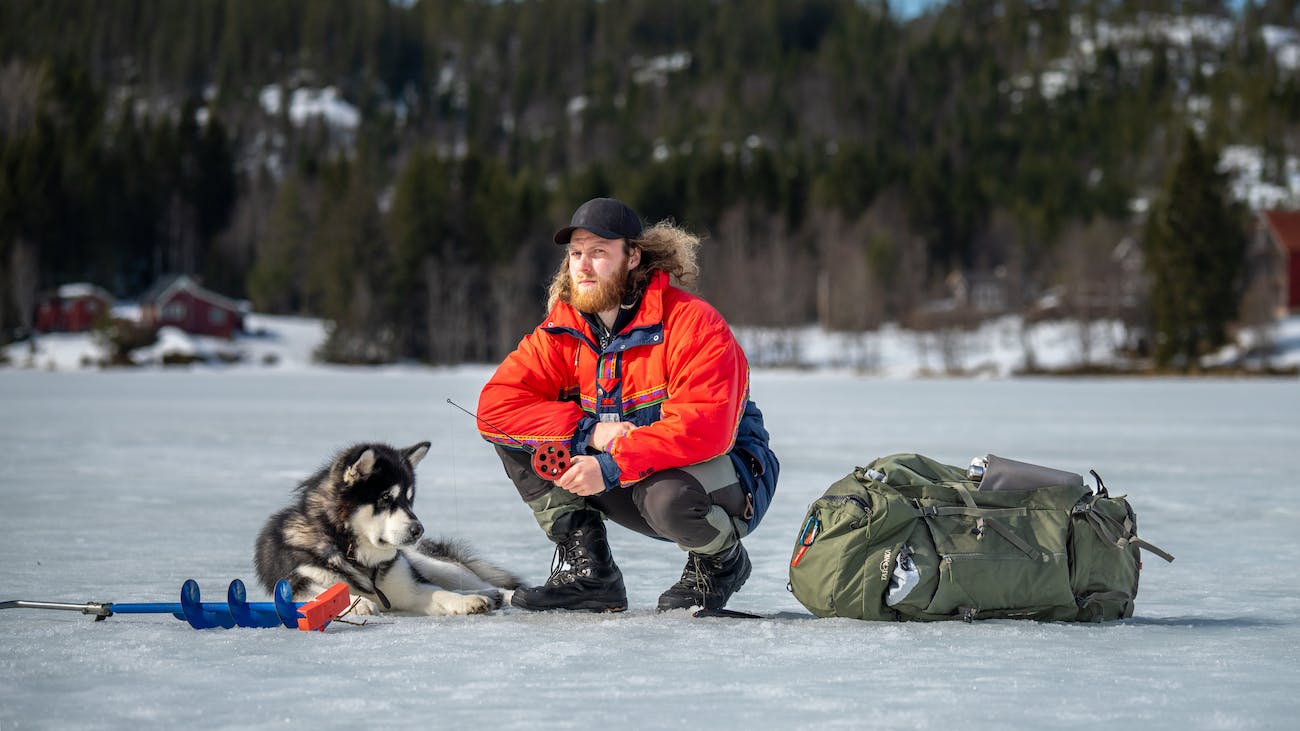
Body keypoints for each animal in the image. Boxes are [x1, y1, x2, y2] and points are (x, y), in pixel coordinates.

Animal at [250, 442, 520, 611]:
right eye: (385, 498)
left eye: (409, 499)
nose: (418, 530)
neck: (355, 554)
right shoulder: (297, 582)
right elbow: (321, 594)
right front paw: (357, 603)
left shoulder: (408, 585)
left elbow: (439, 592)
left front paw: (466, 602)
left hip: (435, 565)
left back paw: (499, 595)